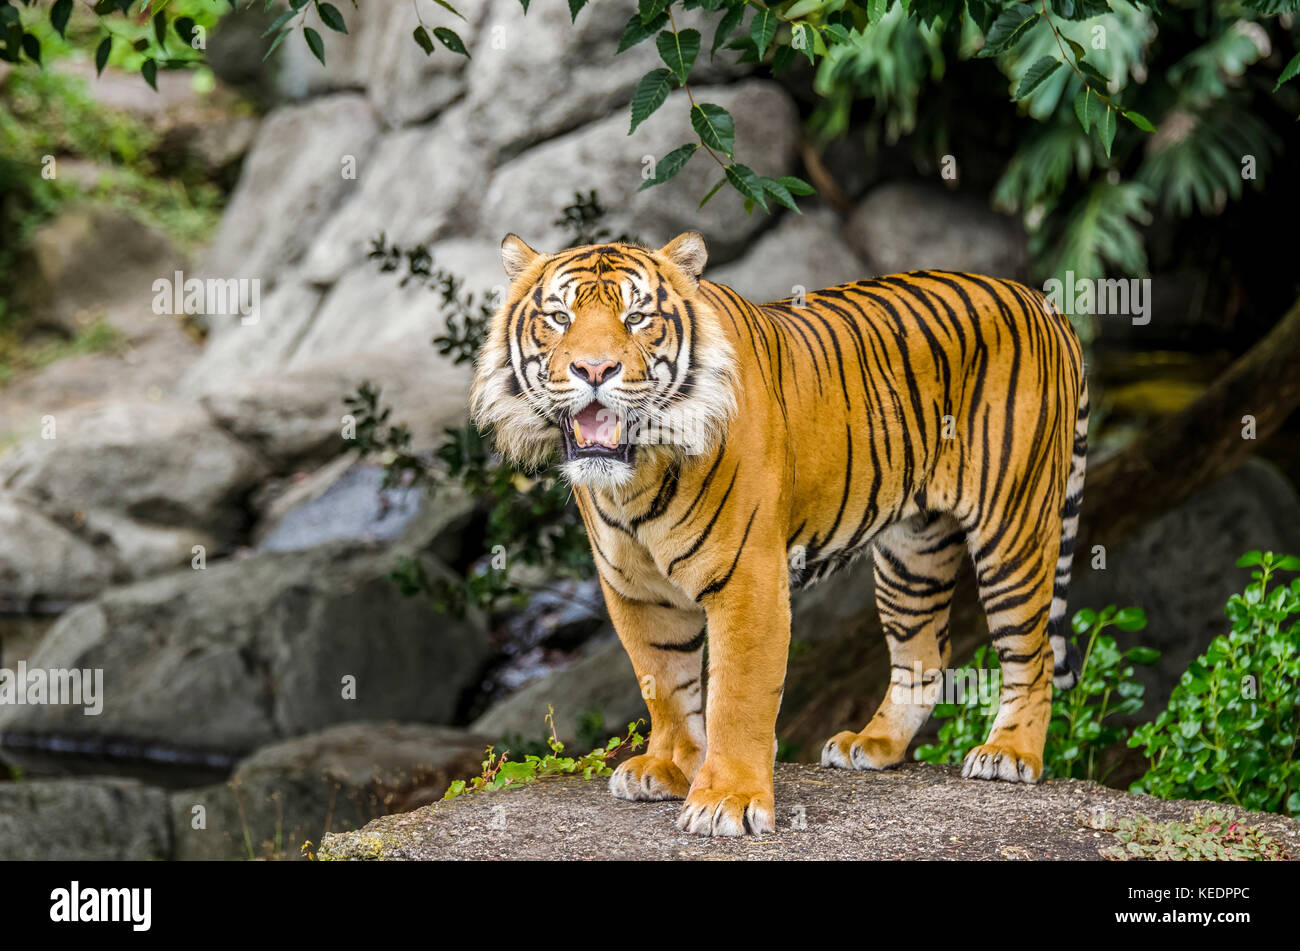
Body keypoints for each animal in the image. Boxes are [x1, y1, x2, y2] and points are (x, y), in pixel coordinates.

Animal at [467, 232, 1086, 841]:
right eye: (560, 317)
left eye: (638, 318)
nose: (594, 371)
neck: (638, 475)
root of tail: (1039, 299)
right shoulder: (635, 591)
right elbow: (664, 684)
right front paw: (667, 768)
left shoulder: (749, 580)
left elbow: (736, 698)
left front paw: (727, 800)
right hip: (912, 552)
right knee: (924, 656)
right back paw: (873, 744)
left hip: (1013, 527)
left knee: (1032, 655)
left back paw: (1010, 753)